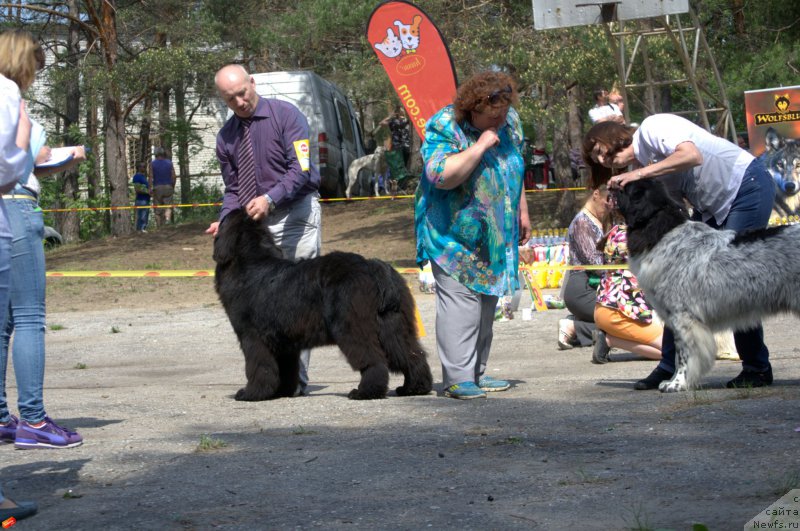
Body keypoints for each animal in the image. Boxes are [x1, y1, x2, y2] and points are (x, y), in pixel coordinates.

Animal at [209, 210, 428, 402]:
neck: (249, 263)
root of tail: (371, 266)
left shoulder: (252, 337)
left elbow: (258, 367)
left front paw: (251, 393)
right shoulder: (284, 341)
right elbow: (285, 369)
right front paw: (281, 392)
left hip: (352, 327)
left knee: (374, 360)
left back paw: (365, 392)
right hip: (393, 325)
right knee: (411, 355)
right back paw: (413, 388)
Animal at [616, 181, 796, 392]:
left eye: (625, 189)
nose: (611, 186)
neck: (663, 232)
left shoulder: (683, 317)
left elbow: (683, 355)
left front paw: (677, 383)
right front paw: (672, 380)